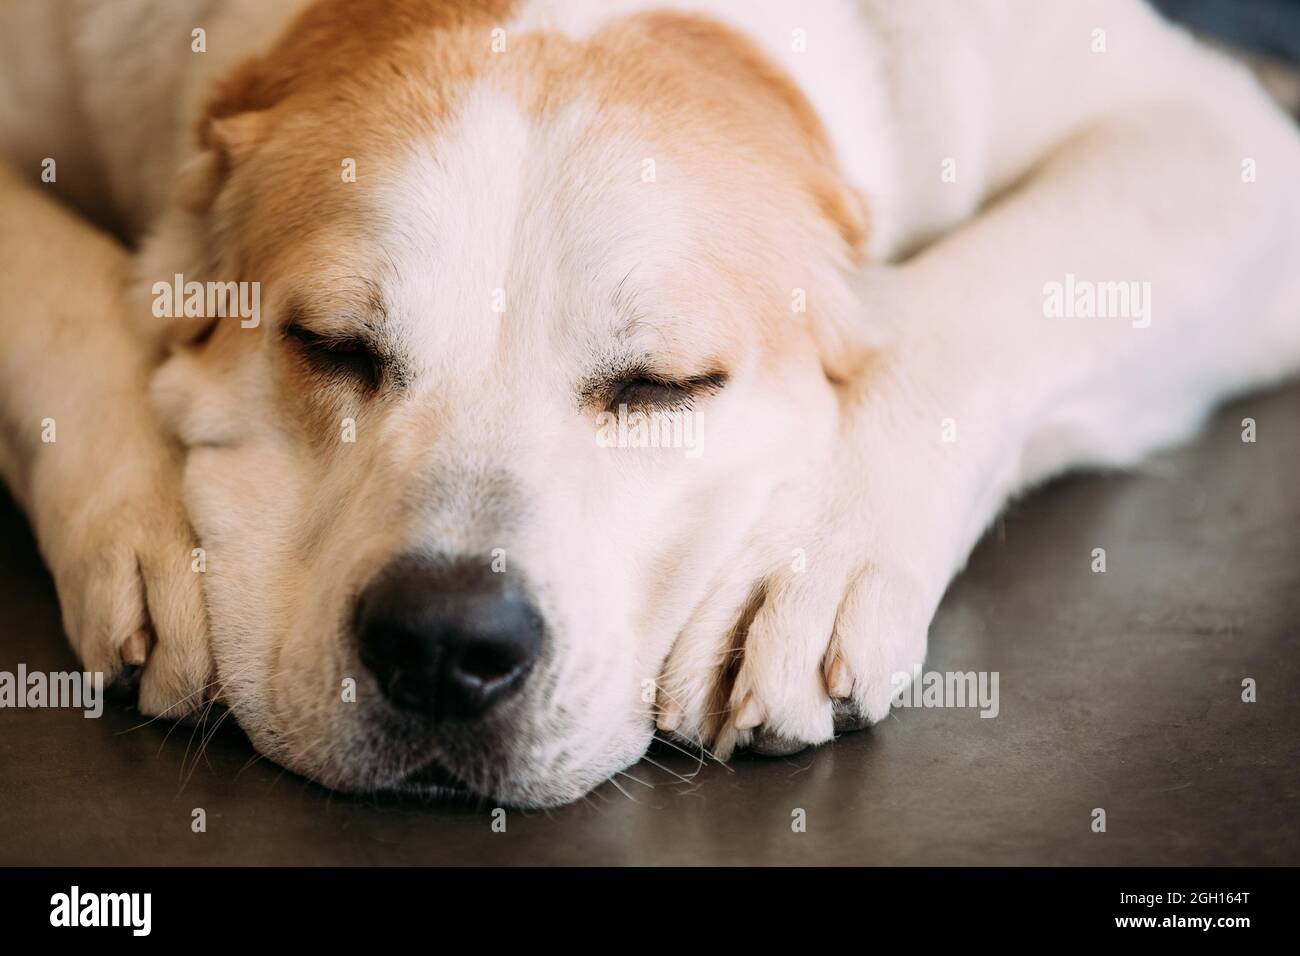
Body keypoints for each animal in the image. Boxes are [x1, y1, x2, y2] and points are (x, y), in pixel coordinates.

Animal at [2, 0, 1300, 806]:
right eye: (330, 347)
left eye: (663, 385)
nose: (445, 640)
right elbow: (59, 292)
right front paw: (137, 521)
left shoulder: (1211, 144)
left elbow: (961, 306)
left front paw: (807, 554)